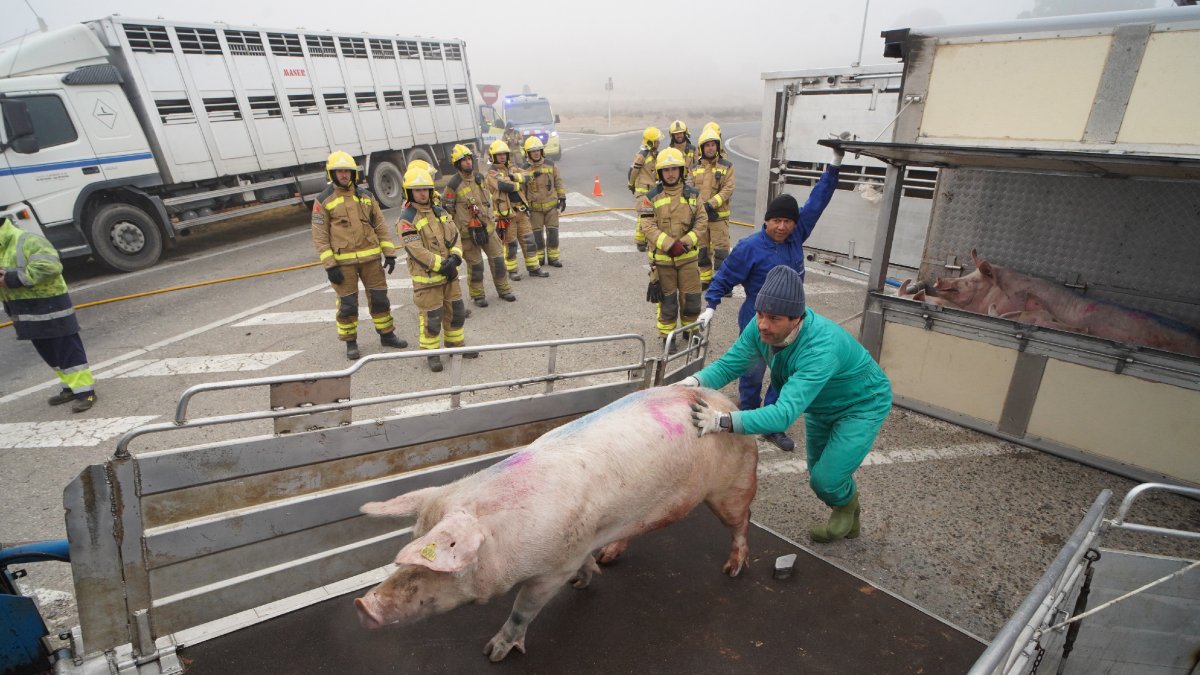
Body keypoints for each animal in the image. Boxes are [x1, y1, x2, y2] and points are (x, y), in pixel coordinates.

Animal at [350, 386, 753, 658]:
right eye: (415, 539)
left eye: (434, 566)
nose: (362, 605)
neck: (503, 538)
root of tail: (726, 402)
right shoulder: (582, 543)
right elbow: (586, 563)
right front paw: (588, 577)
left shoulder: (554, 567)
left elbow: (523, 609)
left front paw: (493, 653)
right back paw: (610, 556)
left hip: (733, 486)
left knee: (741, 522)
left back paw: (732, 569)